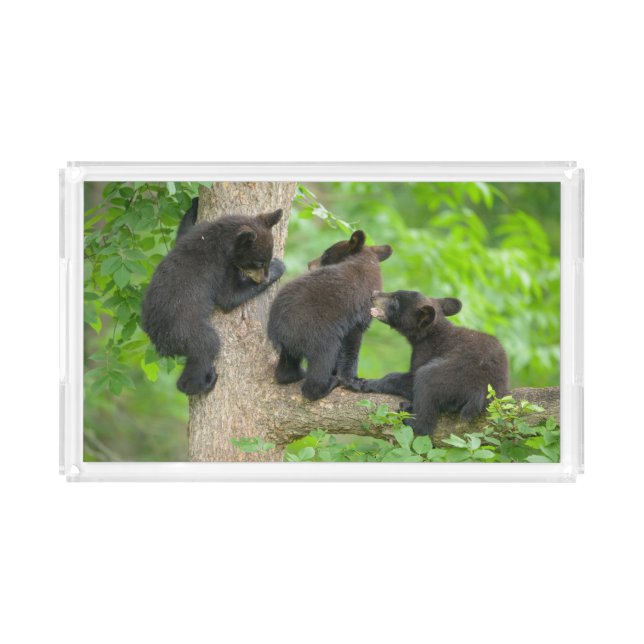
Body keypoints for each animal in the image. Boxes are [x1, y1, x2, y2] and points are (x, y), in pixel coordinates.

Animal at [141, 200, 285, 396]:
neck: (219, 238)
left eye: (266, 259)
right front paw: (279, 267)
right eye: (258, 262)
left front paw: (194, 205)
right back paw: (203, 383)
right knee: (207, 346)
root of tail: (158, 341)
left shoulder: (194, 234)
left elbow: (182, 233)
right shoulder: (218, 266)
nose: (264, 278)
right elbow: (228, 297)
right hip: (185, 330)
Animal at [267, 230, 393, 401]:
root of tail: (278, 331)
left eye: (325, 254)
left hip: (293, 345)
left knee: (287, 367)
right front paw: (352, 379)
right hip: (318, 334)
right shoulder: (356, 315)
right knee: (323, 360)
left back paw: (295, 374)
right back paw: (327, 384)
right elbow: (351, 346)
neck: (365, 262)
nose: (309, 264)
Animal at [342, 290, 509, 435]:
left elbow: (407, 378)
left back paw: (410, 416)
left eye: (396, 300)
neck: (430, 333)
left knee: (426, 386)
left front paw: (363, 383)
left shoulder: (426, 351)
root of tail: (481, 391)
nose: (374, 293)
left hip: (453, 375)